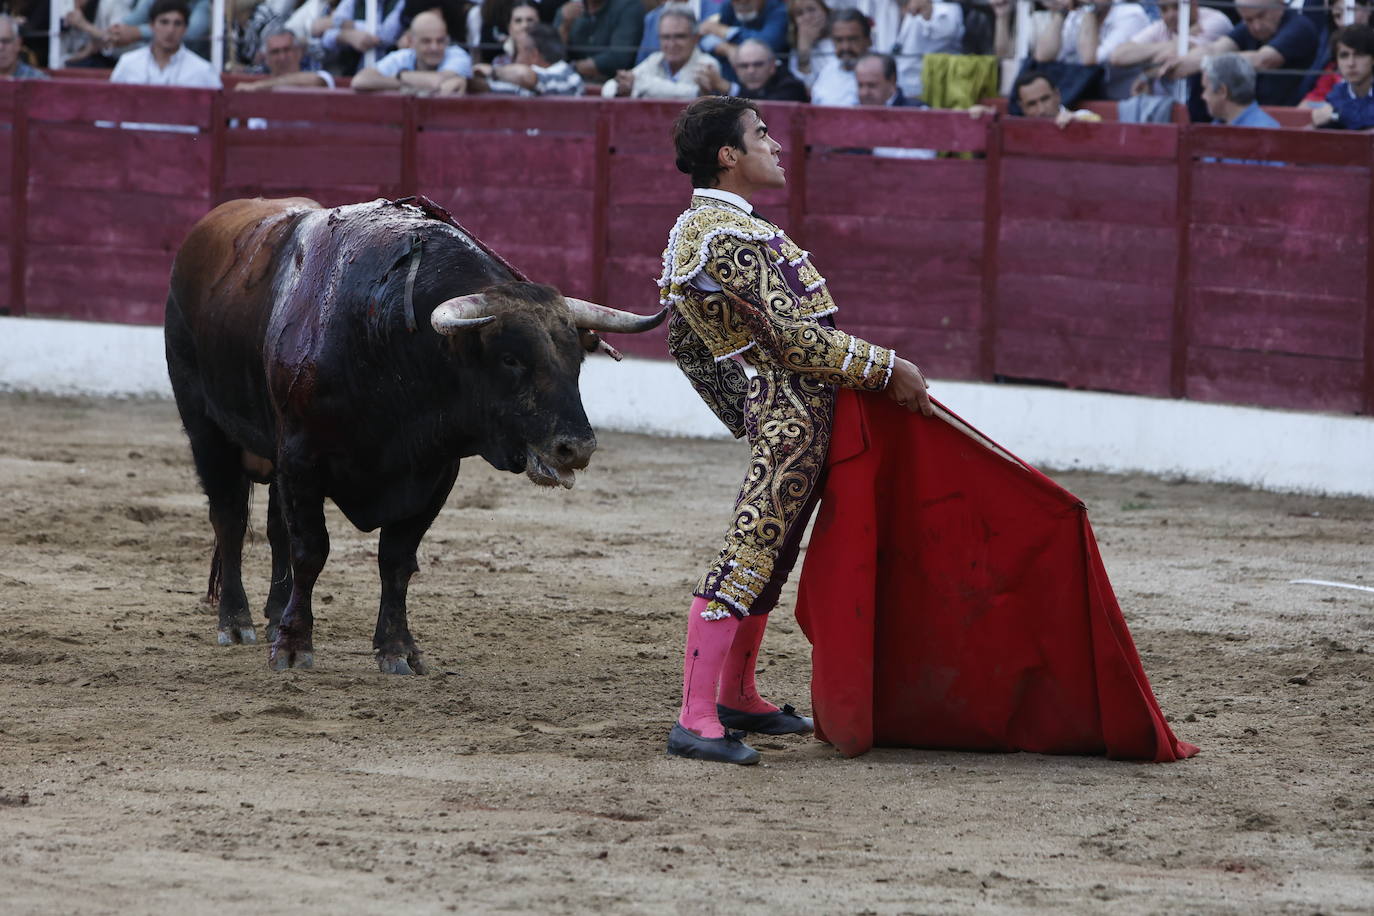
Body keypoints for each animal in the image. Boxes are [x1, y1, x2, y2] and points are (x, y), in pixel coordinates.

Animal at [164, 195, 659, 672]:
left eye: (577, 360)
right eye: (510, 359)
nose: (576, 448)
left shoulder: (433, 473)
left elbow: (396, 559)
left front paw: (396, 648)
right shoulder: (303, 460)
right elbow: (311, 551)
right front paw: (292, 646)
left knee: (274, 528)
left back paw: (273, 615)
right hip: (206, 427)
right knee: (229, 519)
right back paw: (237, 621)